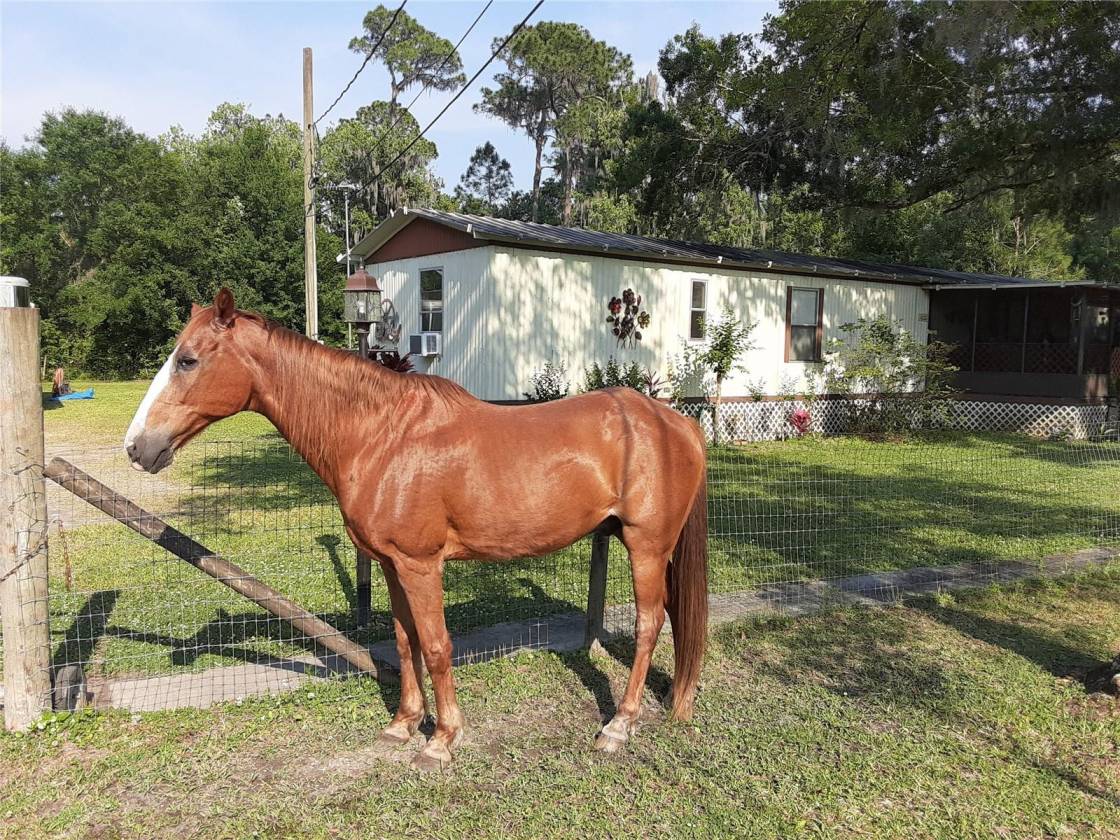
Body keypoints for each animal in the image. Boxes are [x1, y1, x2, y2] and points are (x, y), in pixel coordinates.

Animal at [124, 288, 707, 770]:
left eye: (188, 360)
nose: (136, 447)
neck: (381, 435)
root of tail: (676, 422)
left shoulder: (421, 564)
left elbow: (436, 646)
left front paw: (442, 739)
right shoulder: (390, 563)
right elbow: (405, 643)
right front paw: (403, 724)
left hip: (646, 546)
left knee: (650, 625)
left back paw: (619, 726)